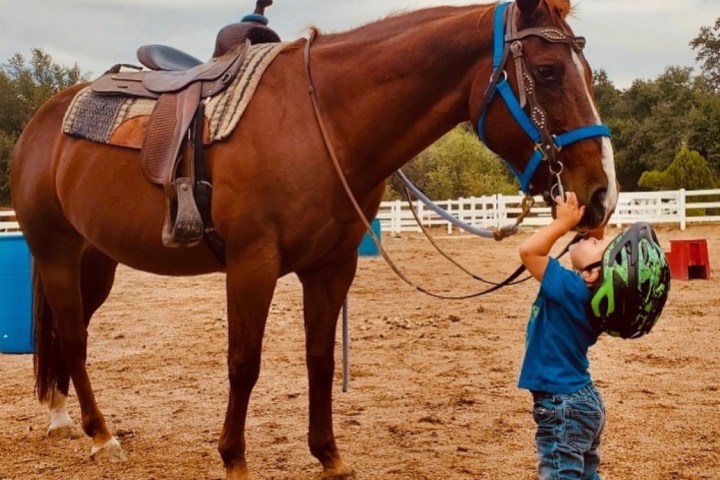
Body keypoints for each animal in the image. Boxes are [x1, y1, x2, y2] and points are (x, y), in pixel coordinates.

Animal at [10, 1, 617, 478]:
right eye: (548, 71)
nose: (600, 194)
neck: (321, 118)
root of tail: (42, 122)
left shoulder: (332, 266)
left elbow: (320, 359)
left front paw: (329, 455)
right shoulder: (251, 263)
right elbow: (244, 362)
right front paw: (234, 459)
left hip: (96, 262)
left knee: (65, 335)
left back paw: (62, 416)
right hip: (56, 252)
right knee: (73, 337)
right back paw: (99, 434)